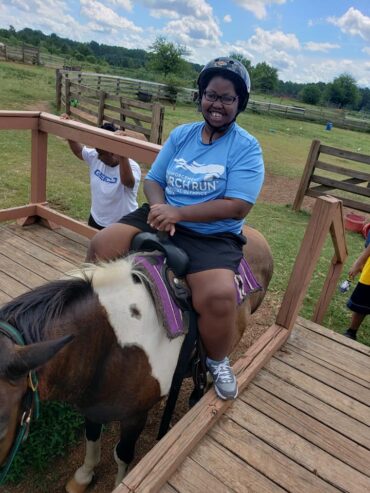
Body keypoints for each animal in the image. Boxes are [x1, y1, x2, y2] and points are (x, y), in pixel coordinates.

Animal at [0, 225, 272, 490]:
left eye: (2, 427)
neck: (108, 344)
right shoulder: (93, 405)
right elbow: (91, 437)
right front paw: (84, 475)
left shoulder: (135, 417)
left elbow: (122, 454)